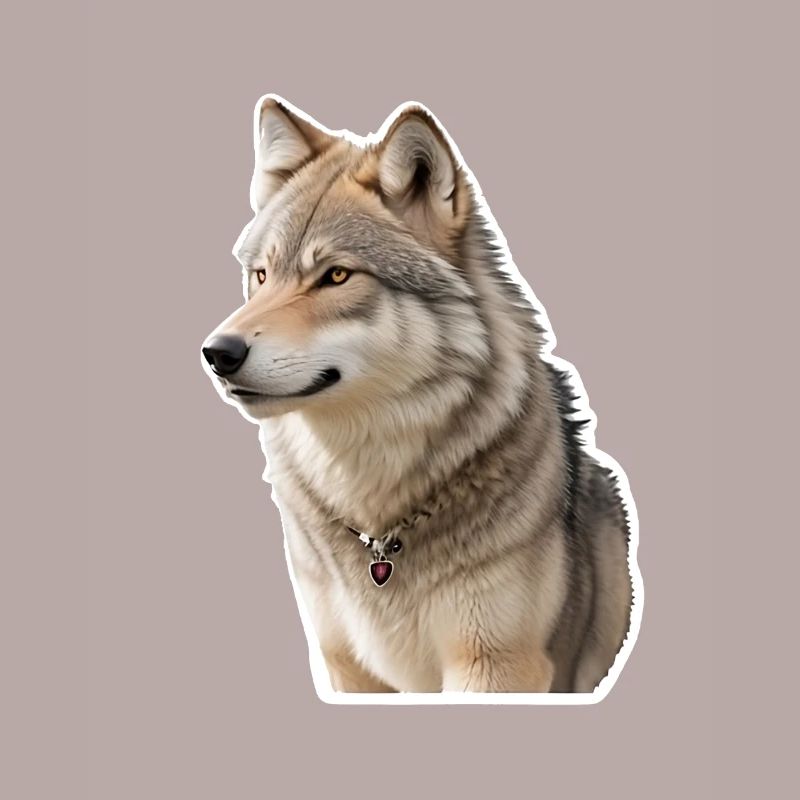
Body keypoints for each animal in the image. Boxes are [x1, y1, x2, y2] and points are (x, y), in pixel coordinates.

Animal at [201, 95, 638, 695]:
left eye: (337, 276)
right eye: (262, 276)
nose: (217, 353)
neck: (379, 523)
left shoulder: (496, 664)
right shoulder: (347, 666)